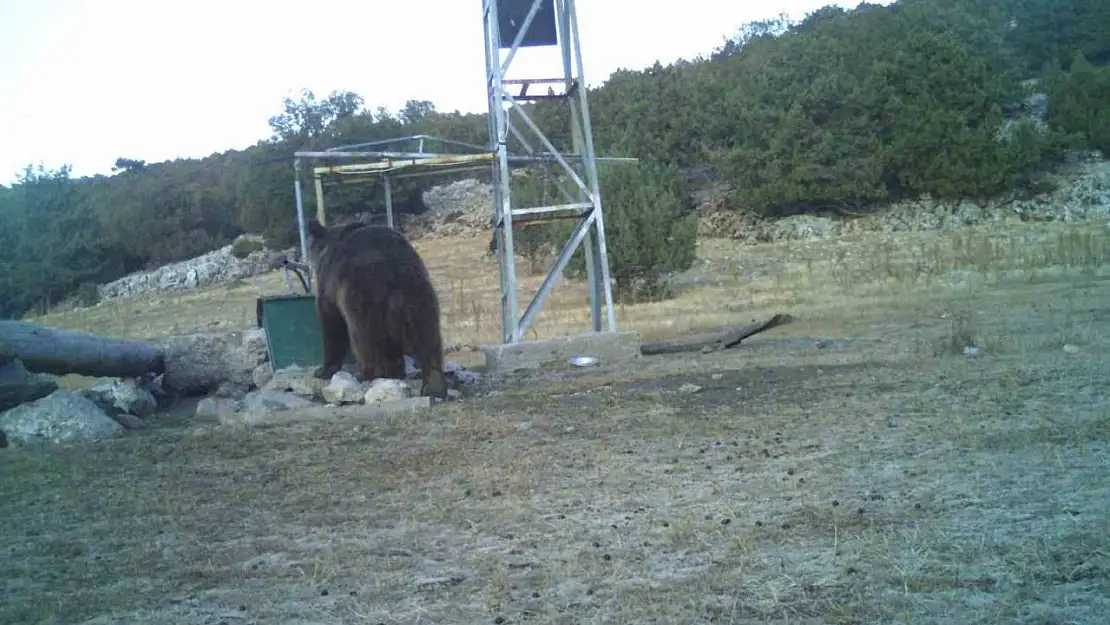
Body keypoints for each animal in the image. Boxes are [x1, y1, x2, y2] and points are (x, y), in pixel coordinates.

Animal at [306, 217, 448, 399]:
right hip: (419, 295)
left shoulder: (329, 286)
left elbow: (332, 324)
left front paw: (323, 370)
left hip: (361, 293)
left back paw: (367, 373)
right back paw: (434, 386)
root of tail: (394, 267)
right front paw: (397, 370)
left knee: (363, 337)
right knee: (427, 336)